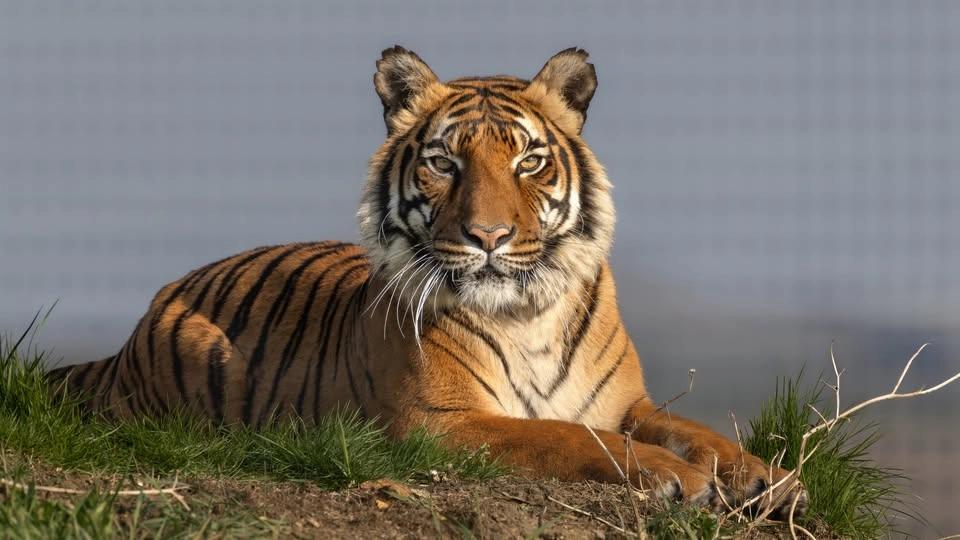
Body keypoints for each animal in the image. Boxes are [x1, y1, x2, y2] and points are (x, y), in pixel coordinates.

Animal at [49, 46, 805, 514]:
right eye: (445, 162)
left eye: (529, 161)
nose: (489, 236)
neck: (527, 312)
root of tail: (131, 335)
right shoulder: (439, 422)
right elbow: (567, 438)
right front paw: (679, 478)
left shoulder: (627, 405)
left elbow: (700, 431)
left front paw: (770, 480)